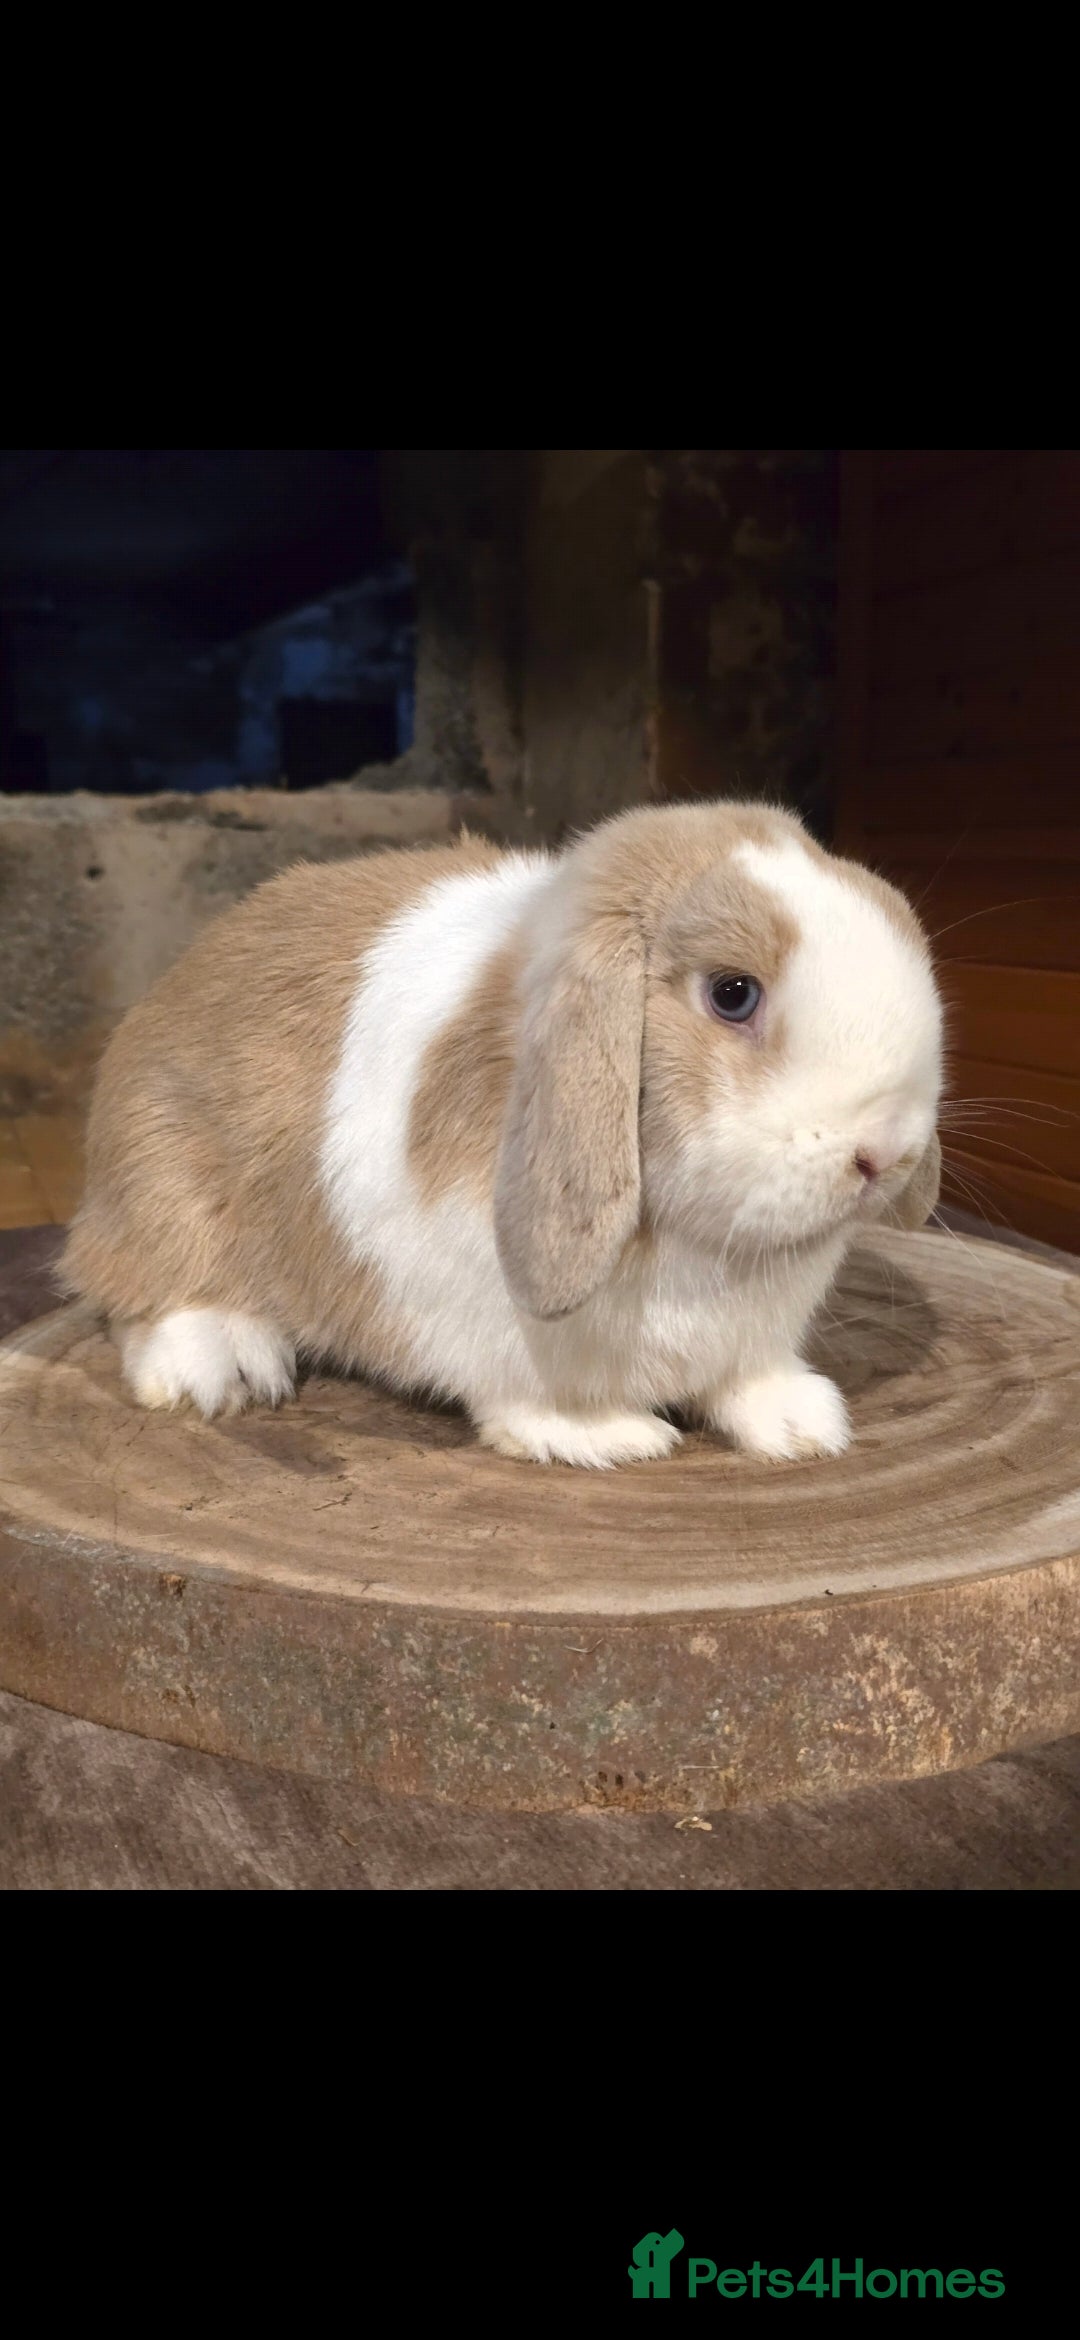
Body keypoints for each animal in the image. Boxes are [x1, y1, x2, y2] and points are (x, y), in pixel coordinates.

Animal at [61, 798, 943, 1469]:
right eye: (733, 994)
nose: (884, 1154)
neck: (702, 1247)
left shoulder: (749, 1338)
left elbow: (750, 1380)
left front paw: (804, 1426)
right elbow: (530, 1397)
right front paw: (608, 1439)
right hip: (160, 1180)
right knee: (138, 1296)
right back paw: (223, 1371)